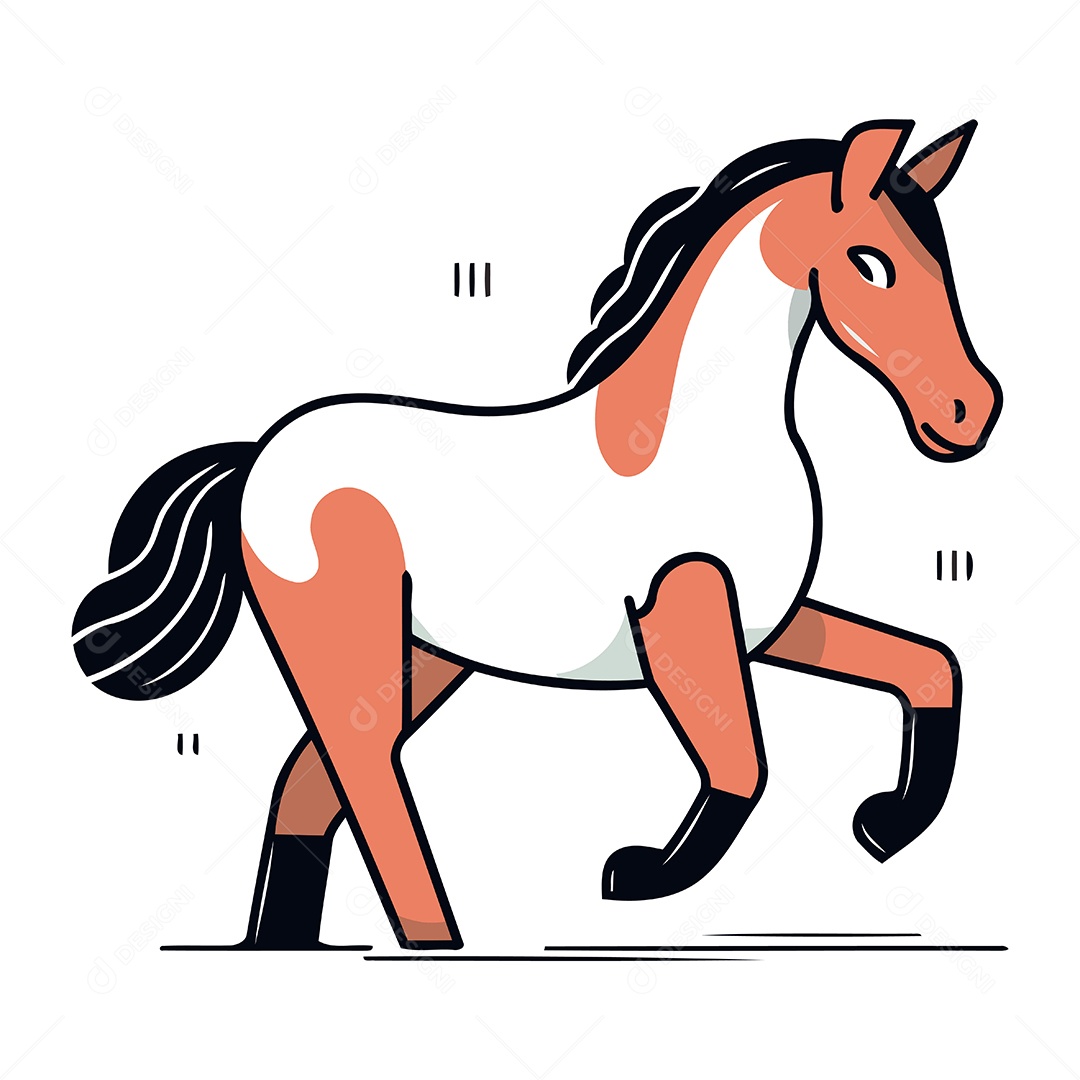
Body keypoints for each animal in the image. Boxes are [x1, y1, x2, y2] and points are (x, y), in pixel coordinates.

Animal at [72, 118, 1002, 951]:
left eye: (945, 260)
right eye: (871, 262)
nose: (972, 413)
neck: (689, 435)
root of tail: (259, 455)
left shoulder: (762, 622)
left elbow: (929, 667)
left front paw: (886, 825)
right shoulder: (681, 615)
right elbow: (742, 763)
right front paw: (641, 874)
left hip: (425, 658)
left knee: (311, 781)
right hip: (347, 649)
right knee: (364, 776)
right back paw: (438, 940)